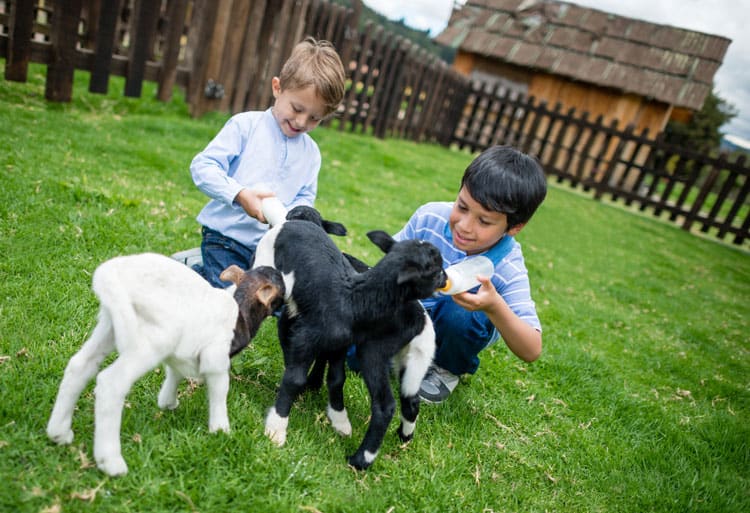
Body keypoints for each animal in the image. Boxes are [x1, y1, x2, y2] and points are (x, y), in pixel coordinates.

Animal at [45, 253, 284, 476]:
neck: (239, 306)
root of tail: (112, 274)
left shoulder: (181, 352)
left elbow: (174, 373)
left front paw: (167, 401)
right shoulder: (215, 359)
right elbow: (219, 393)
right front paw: (220, 430)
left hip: (109, 326)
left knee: (79, 366)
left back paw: (59, 432)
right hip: (152, 339)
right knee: (111, 383)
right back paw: (111, 461)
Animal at [254, 211, 446, 468]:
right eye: (436, 271)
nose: (446, 278)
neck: (354, 298)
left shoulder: (302, 334)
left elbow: (297, 376)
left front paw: (276, 428)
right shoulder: (332, 343)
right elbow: (334, 379)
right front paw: (338, 419)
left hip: (373, 352)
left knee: (386, 405)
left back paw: (361, 459)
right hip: (406, 358)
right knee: (410, 398)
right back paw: (404, 436)